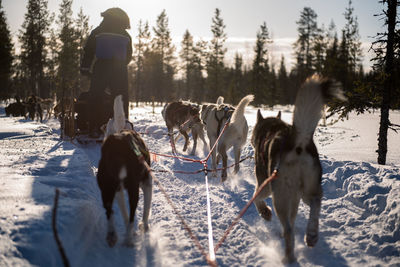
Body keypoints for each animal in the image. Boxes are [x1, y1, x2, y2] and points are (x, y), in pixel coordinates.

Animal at [252, 75, 346, 264]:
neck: (271, 127)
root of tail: (298, 141)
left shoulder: (265, 185)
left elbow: (256, 196)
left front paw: (264, 212)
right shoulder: (294, 198)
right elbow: (293, 217)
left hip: (279, 196)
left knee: (289, 229)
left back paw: (289, 257)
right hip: (308, 191)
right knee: (316, 203)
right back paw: (311, 235)